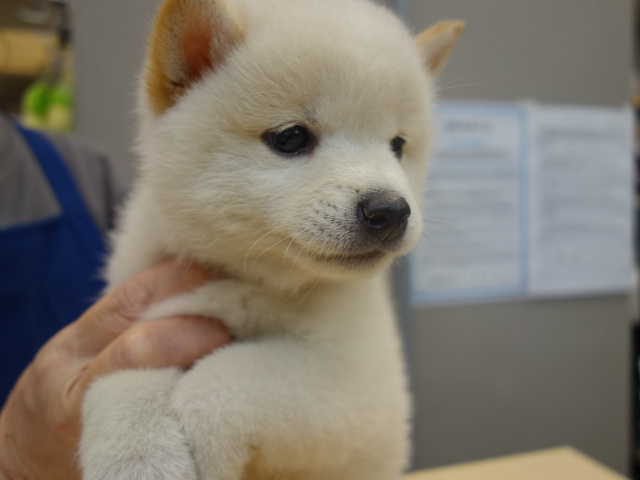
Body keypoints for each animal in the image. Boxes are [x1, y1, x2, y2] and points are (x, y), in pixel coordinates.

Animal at [79, 0, 462, 478]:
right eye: (291, 137)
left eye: (398, 145)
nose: (390, 210)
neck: (253, 281)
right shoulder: (150, 322)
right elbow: (117, 379)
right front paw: (135, 454)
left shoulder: (362, 382)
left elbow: (224, 380)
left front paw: (204, 442)